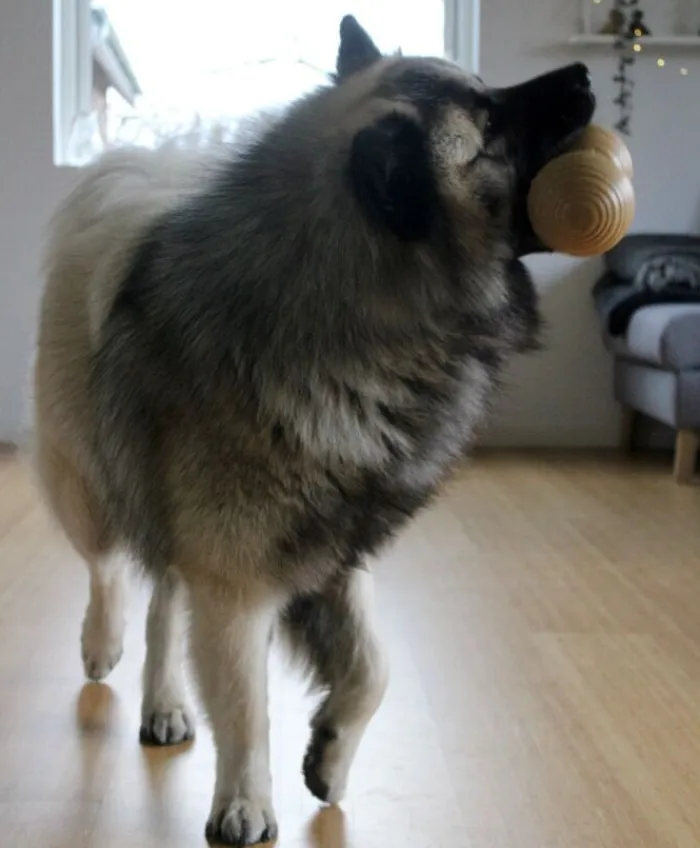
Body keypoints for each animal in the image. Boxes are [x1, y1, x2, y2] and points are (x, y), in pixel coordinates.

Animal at [32, 14, 596, 848]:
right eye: (490, 127)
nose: (586, 76)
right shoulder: (236, 583)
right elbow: (246, 706)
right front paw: (244, 804)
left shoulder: (336, 554)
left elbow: (373, 668)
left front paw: (329, 753)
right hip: (89, 473)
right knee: (107, 569)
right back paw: (102, 645)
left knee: (164, 599)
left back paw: (163, 702)